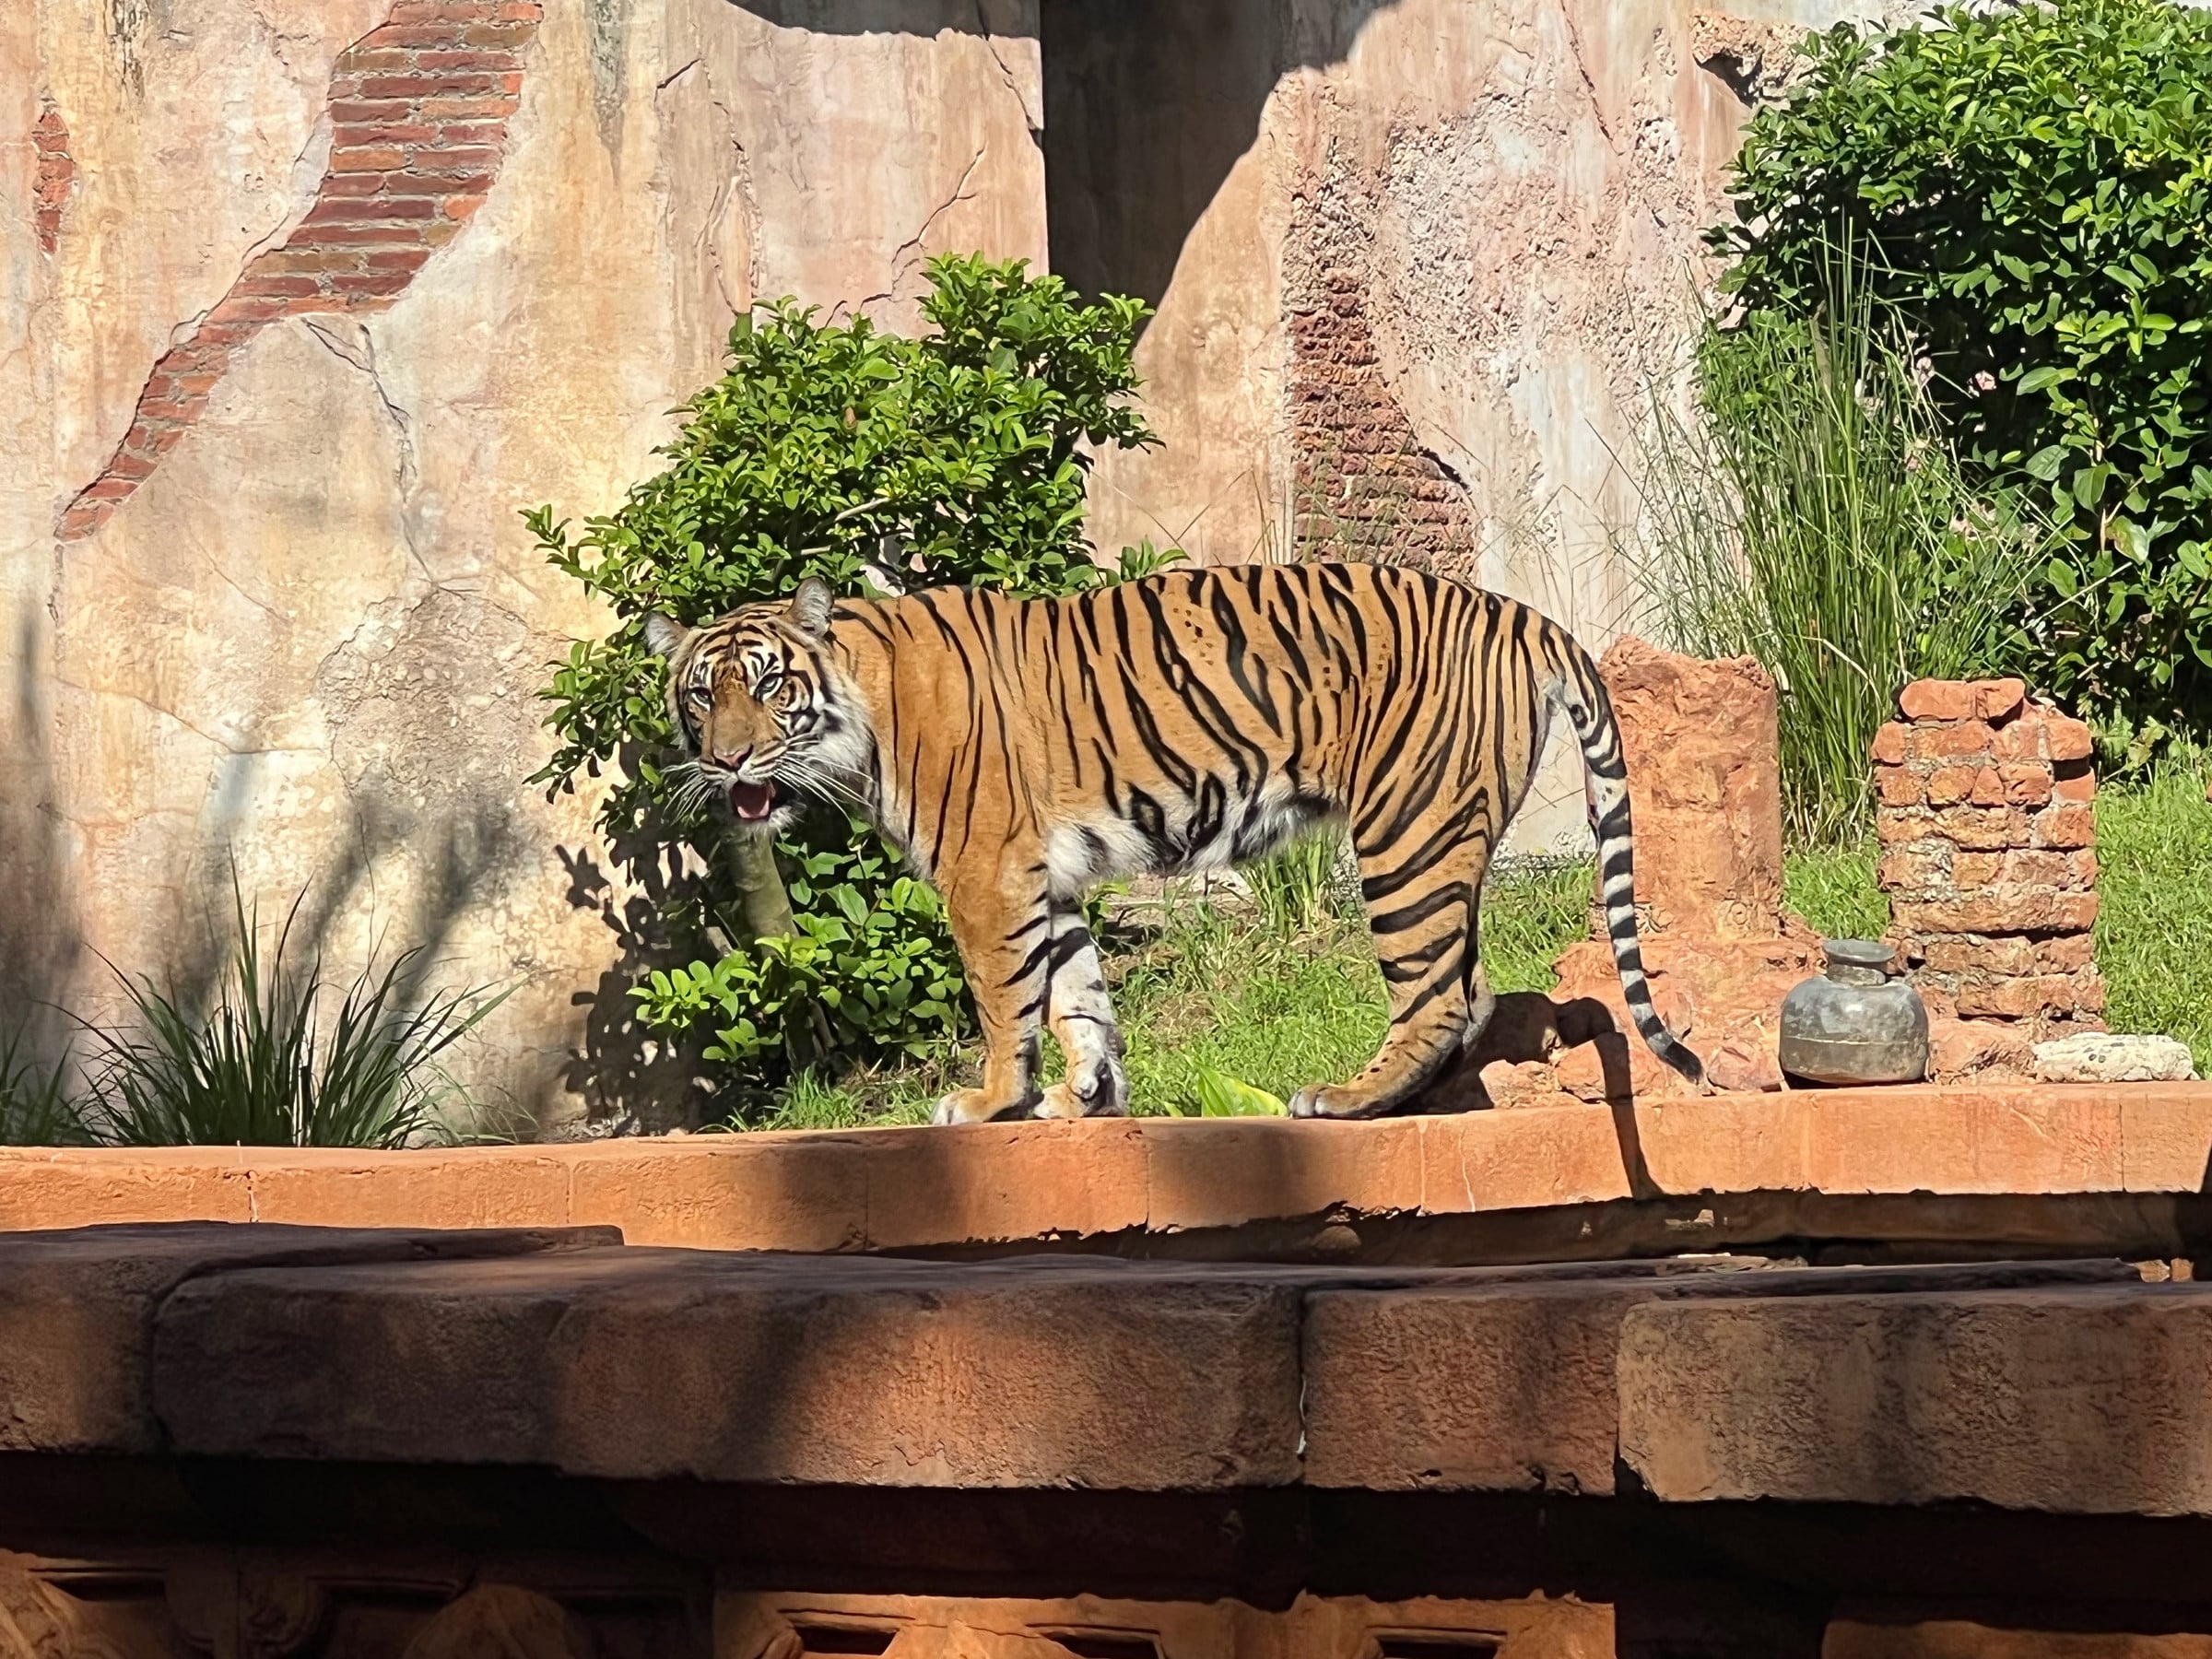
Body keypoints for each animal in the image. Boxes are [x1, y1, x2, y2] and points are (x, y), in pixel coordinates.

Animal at [643, 561, 1702, 1125]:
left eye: (770, 685)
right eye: (701, 693)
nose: (728, 761)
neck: (863, 712)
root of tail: (1516, 609)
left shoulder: (987, 873)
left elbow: (1003, 999)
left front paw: (990, 1103)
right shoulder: (1049, 875)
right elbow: (1076, 992)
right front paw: (1086, 1098)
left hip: (1405, 833)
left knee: (1440, 996)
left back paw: (1341, 1100)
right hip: (1444, 839)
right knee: (1467, 989)